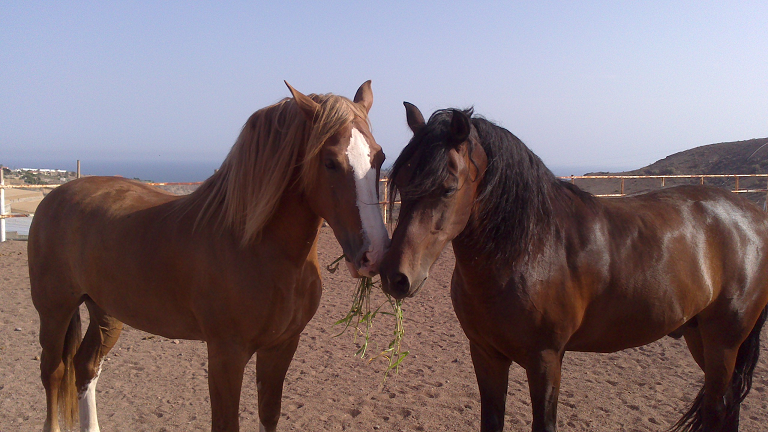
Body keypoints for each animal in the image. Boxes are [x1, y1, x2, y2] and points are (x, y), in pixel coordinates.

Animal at [28, 82, 390, 432]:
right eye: (330, 161)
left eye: (380, 157)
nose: (374, 255)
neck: (259, 248)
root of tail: (55, 197)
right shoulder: (226, 354)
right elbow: (226, 422)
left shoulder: (282, 346)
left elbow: (269, 414)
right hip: (55, 309)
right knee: (53, 371)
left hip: (106, 311)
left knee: (86, 366)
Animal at [382, 103, 768, 430]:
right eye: (400, 181)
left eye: (448, 188)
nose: (396, 277)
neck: (528, 249)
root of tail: (754, 218)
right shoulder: (486, 354)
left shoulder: (545, 360)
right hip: (699, 337)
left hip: (723, 343)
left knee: (719, 407)